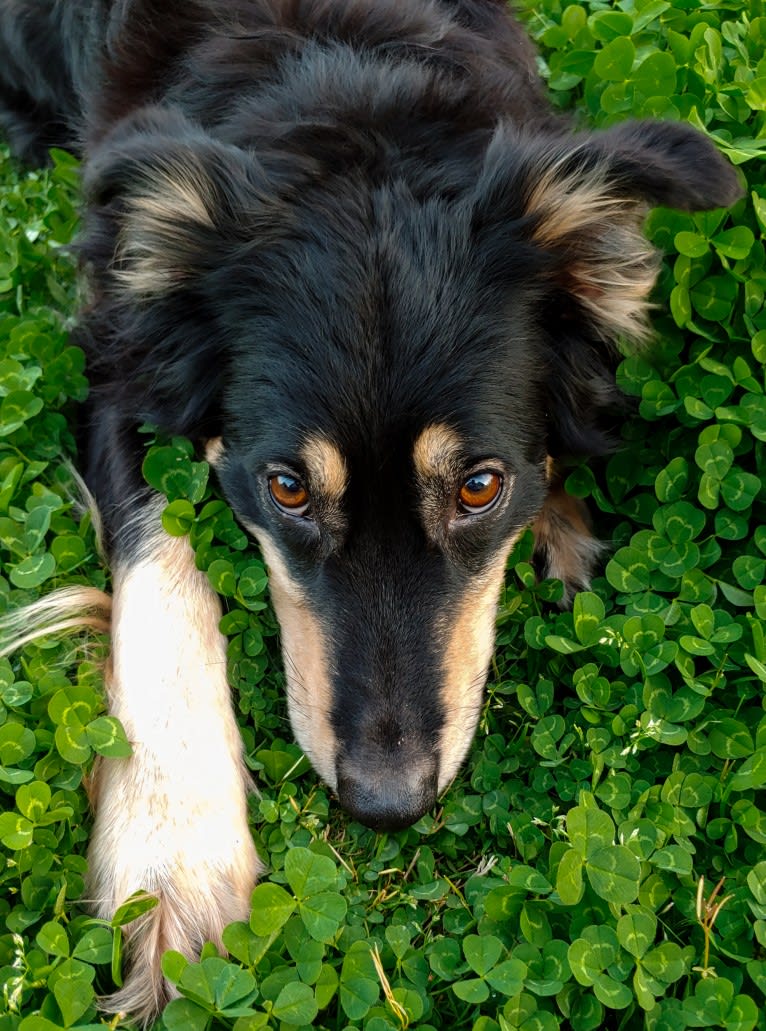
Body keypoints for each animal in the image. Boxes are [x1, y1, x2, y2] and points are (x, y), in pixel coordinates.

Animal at [1, 0, 742, 1018]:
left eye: (479, 486)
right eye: (286, 489)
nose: (387, 804)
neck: (348, 85)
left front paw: (559, 523)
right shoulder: (118, 349)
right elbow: (161, 572)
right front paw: (173, 855)